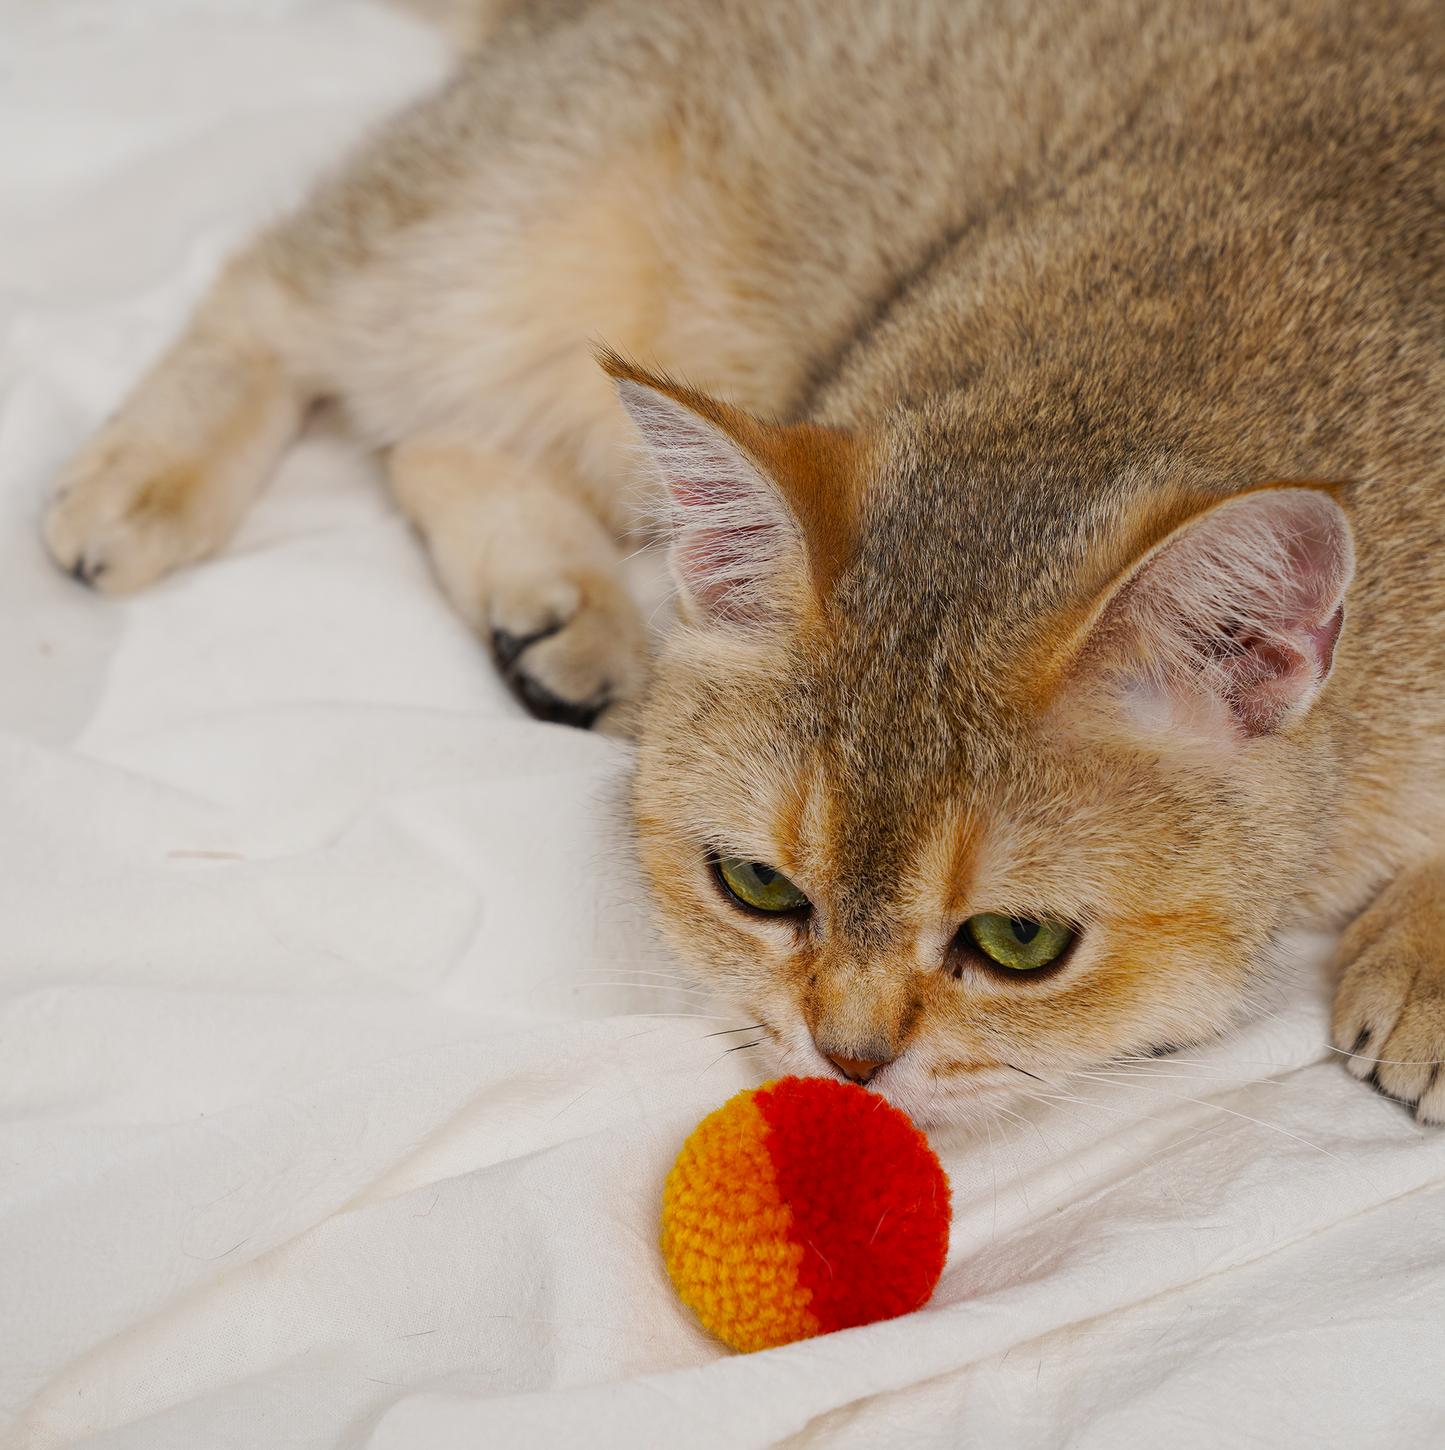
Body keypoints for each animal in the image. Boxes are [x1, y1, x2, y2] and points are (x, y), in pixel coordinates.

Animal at [45, 0, 1443, 1125]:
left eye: (1016, 941)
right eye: (758, 886)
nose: (846, 1056)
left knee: (427, 432)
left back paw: (559, 615)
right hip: (532, 218)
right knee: (281, 294)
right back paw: (142, 484)